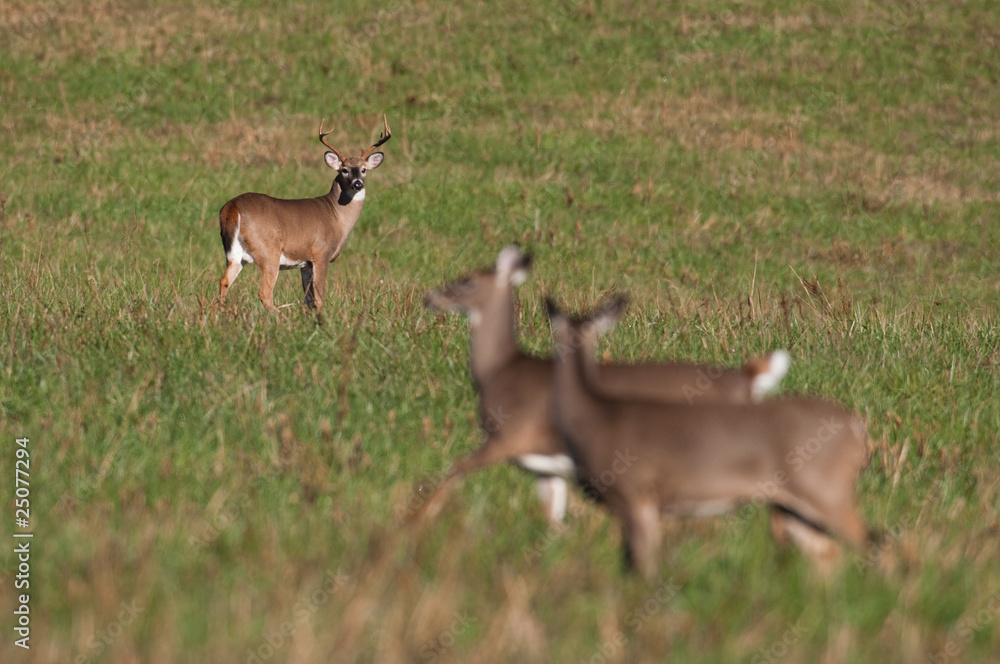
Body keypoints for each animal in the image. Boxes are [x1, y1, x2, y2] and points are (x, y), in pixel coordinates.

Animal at [217, 115, 392, 312]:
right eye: (344, 170)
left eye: (363, 170)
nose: (357, 184)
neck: (336, 216)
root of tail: (233, 207)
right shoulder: (321, 253)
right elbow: (319, 297)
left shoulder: (305, 263)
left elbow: (309, 299)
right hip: (269, 251)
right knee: (264, 293)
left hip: (235, 254)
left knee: (224, 281)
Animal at [414, 246, 788, 528]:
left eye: (465, 280)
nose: (430, 298)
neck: (500, 371)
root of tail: (745, 380)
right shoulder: (545, 465)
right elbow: (553, 517)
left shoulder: (513, 434)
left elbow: (454, 469)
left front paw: (420, 520)